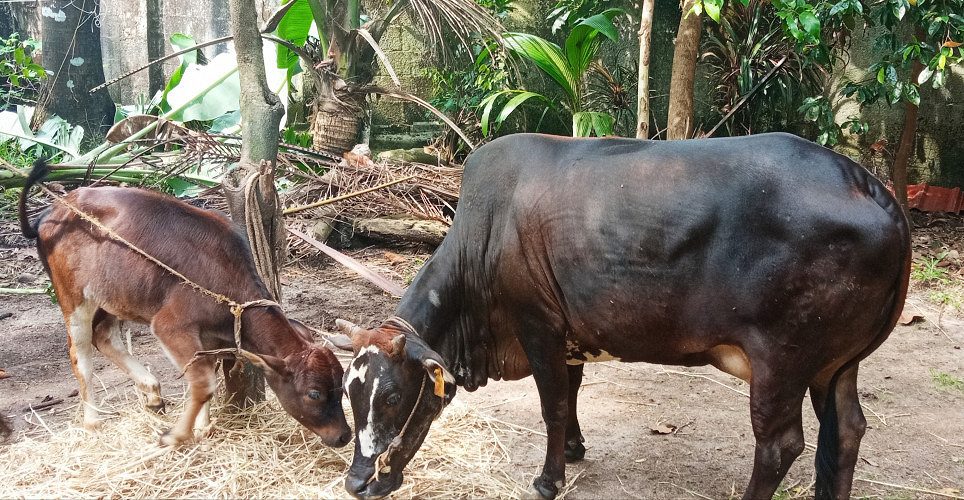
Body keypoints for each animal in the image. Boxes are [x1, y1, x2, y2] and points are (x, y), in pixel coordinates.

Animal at [18, 160, 352, 448]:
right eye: (314, 394)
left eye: (341, 385)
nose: (344, 436)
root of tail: (54, 210)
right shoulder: (171, 326)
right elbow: (203, 384)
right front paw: (176, 436)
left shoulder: (210, 340)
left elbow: (208, 377)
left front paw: (203, 427)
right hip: (74, 297)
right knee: (81, 354)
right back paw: (92, 420)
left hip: (113, 296)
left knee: (104, 336)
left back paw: (152, 393)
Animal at [332, 133, 911, 499]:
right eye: (348, 392)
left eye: (391, 395)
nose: (357, 483)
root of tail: (869, 185)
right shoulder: (570, 337)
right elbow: (571, 395)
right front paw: (574, 450)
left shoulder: (539, 327)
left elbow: (552, 406)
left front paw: (549, 479)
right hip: (834, 366)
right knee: (848, 430)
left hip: (782, 361)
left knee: (779, 446)